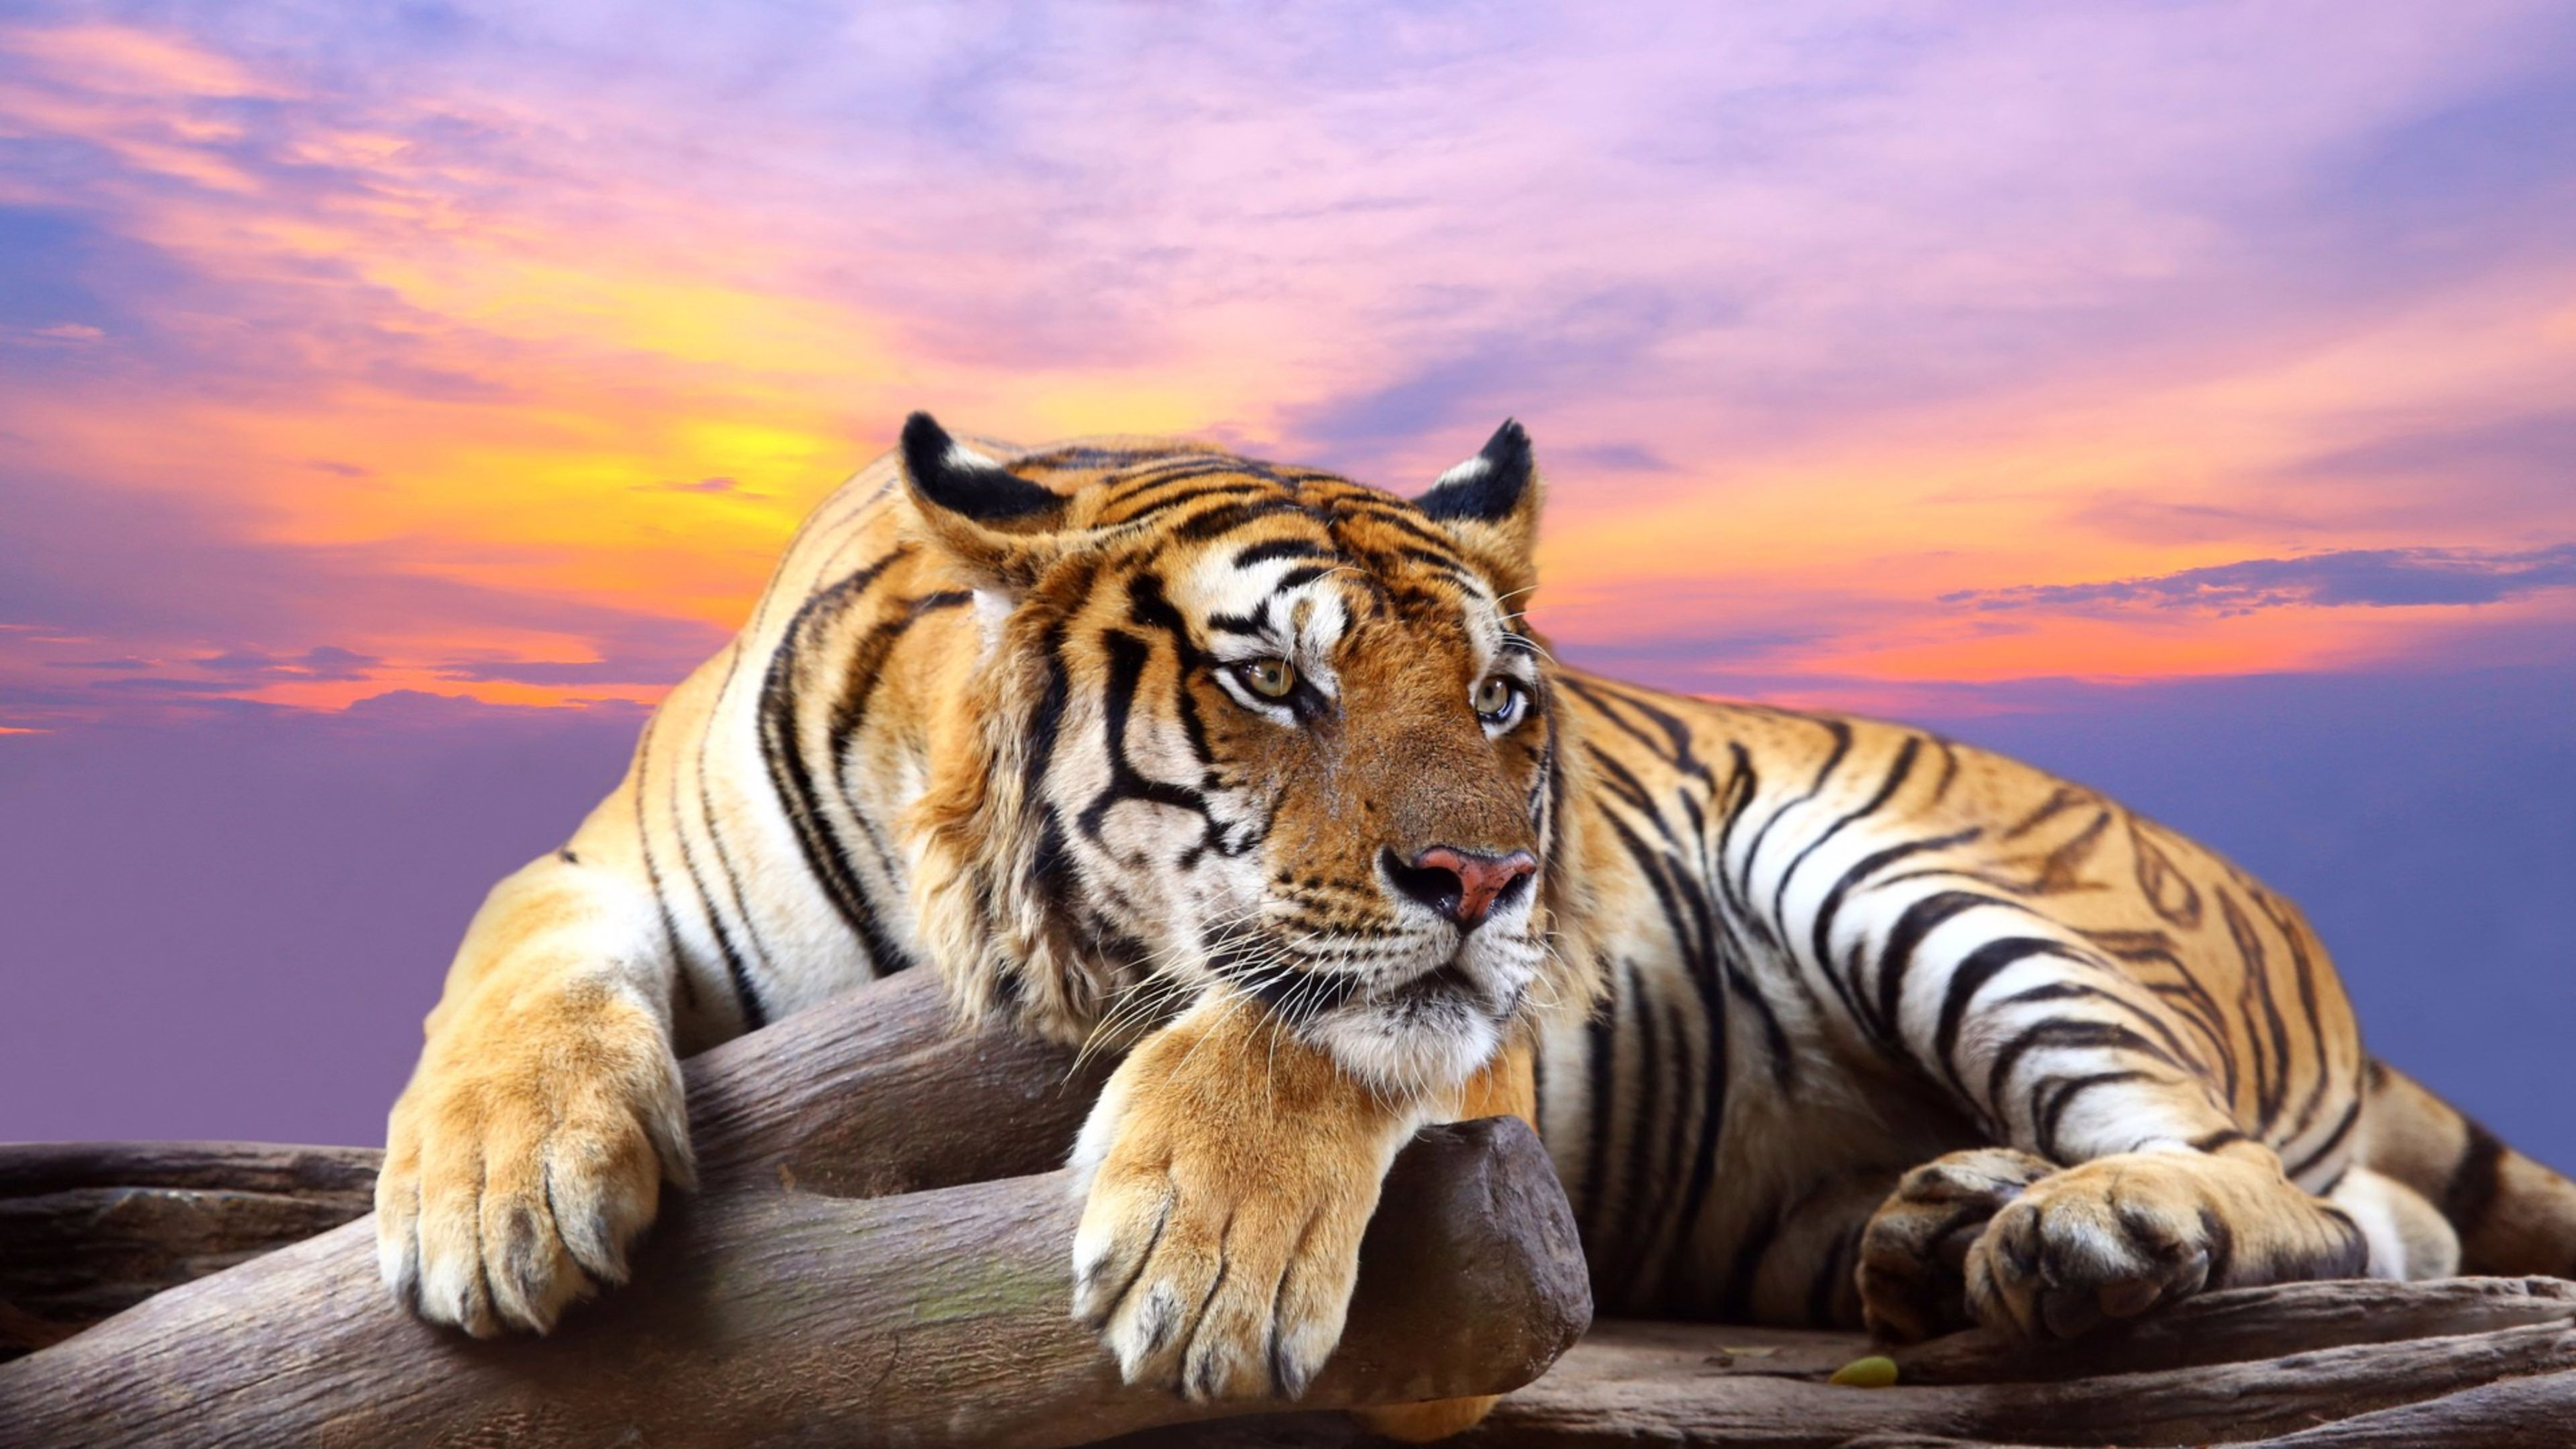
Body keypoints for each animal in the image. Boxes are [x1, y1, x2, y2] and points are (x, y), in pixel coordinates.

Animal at [378, 412, 2576, 1439]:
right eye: (1276, 680)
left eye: (1506, 698)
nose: (1497, 878)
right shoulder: (603, 865)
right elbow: (506, 960)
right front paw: (496, 1200)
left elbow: (1315, 1022)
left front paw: (1205, 1262)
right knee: (2386, 1216)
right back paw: (1945, 1221)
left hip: (1918, 873)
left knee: (2279, 1189)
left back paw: (2078, 1230)